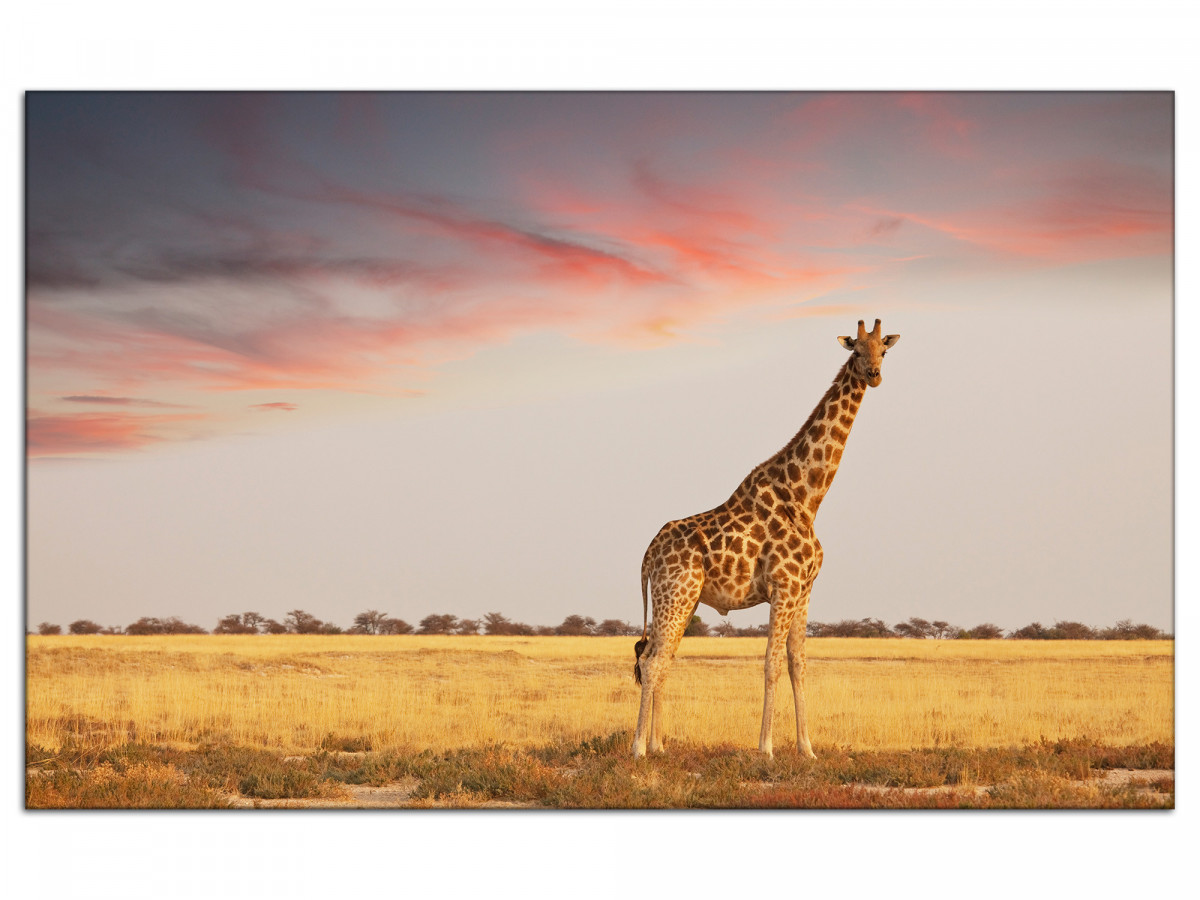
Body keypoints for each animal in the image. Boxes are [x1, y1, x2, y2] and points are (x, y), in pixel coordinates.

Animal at [628, 321, 902, 758]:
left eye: (884, 351)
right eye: (856, 351)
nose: (874, 375)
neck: (807, 499)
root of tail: (647, 555)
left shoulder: (804, 590)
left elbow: (797, 664)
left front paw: (807, 749)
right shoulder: (783, 586)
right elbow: (771, 663)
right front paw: (766, 748)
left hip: (679, 598)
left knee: (661, 657)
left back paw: (658, 746)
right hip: (675, 594)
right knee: (652, 661)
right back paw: (638, 747)